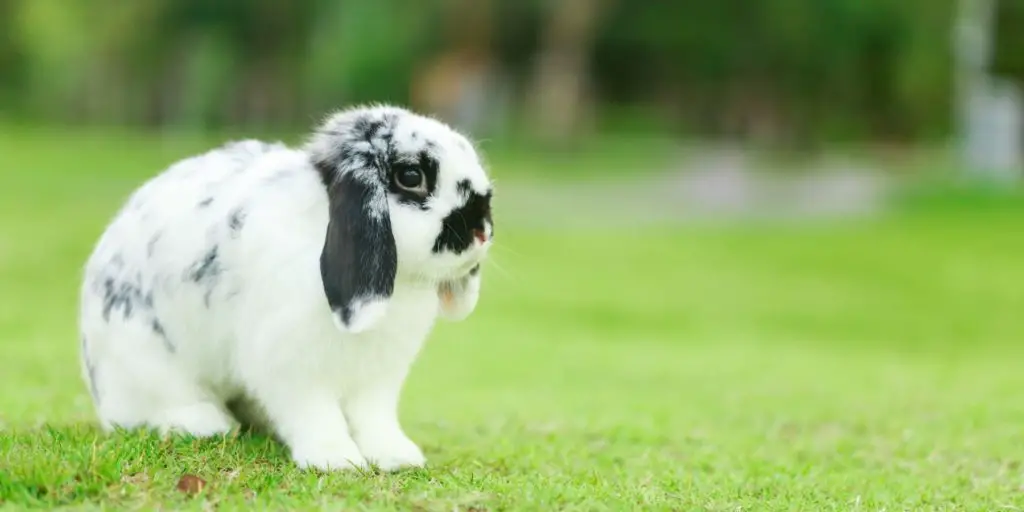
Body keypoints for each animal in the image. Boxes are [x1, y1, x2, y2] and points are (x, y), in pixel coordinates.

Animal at [77, 103, 493, 471]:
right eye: (411, 176)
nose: (482, 229)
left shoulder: (378, 377)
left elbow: (374, 418)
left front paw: (397, 458)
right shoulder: (291, 366)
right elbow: (316, 415)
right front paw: (336, 460)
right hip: (147, 363)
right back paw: (207, 424)